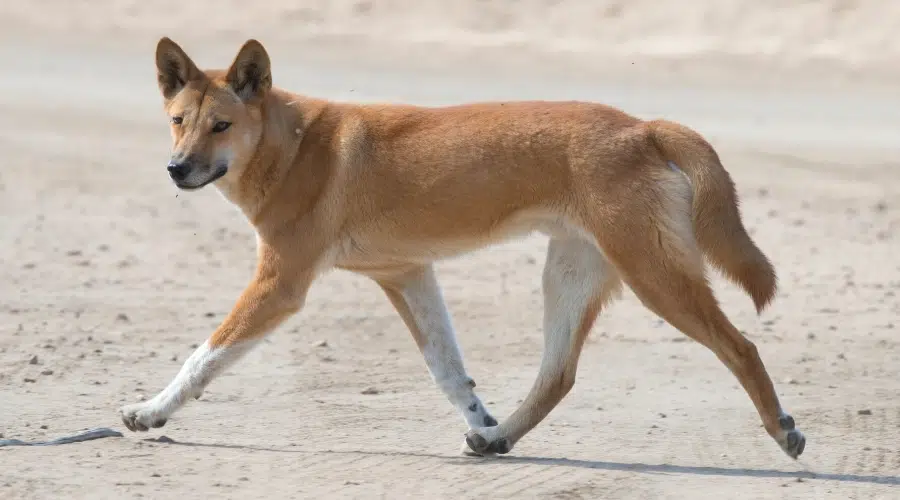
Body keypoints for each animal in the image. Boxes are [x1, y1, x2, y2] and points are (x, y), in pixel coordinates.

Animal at [121, 38, 808, 460]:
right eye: (178, 120)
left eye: (221, 126)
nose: (176, 169)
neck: (290, 147)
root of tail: (644, 127)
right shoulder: (406, 274)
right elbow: (448, 370)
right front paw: (480, 419)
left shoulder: (280, 285)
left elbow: (202, 359)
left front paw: (152, 411)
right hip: (570, 275)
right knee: (558, 375)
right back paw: (498, 439)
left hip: (655, 276)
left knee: (741, 347)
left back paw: (781, 429)